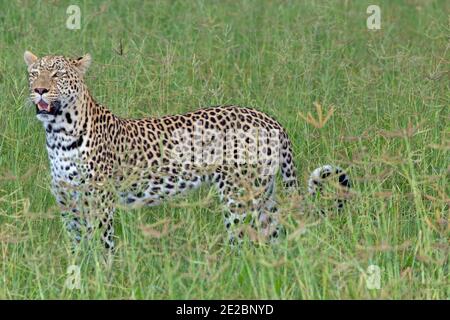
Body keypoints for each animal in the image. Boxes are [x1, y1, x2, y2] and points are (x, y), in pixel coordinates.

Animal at [22, 50, 350, 250]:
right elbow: (77, 244)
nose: (39, 90)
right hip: (262, 192)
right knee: (272, 236)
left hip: (237, 196)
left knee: (243, 240)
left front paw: (102, 278)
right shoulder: (67, 200)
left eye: (58, 75)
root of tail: (270, 119)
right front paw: (79, 274)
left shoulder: (99, 199)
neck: (58, 134)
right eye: (34, 74)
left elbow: (102, 243)